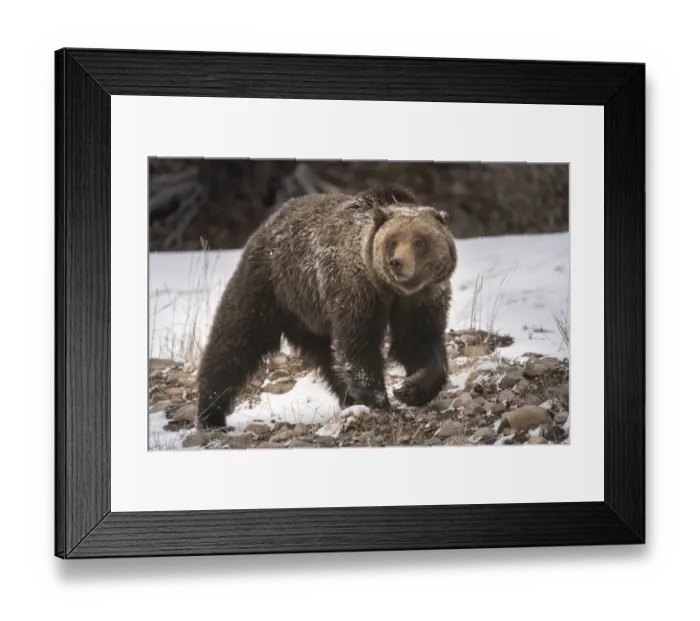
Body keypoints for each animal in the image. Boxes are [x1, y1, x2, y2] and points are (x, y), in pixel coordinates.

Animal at [195, 186, 458, 429]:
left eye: (419, 241)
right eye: (393, 241)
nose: (397, 263)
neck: (392, 290)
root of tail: (269, 221)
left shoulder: (421, 299)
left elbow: (418, 342)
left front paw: (411, 389)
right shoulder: (358, 293)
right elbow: (358, 348)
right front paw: (381, 402)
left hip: (311, 316)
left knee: (329, 360)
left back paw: (349, 399)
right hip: (268, 288)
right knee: (234, 343)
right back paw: (210, 413)